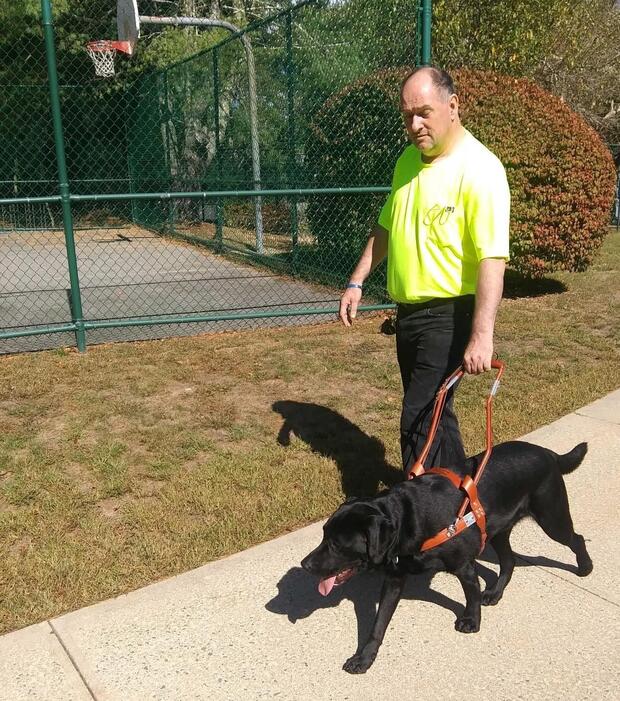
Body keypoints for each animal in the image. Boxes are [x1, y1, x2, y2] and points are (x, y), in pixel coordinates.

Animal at [302, 442, 592, 672]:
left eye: (337, 544)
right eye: (323, 534)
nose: (305, 565)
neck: (405, 519)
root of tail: (549, 453)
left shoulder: (464, 566)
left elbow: (470, 596)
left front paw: (471, 621)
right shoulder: (394, 579)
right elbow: (378, 624)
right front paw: (364, 658)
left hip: (552, 518)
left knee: (576, 538)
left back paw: (585, 567)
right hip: (499, 530)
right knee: (509, 561)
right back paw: (495, 592)